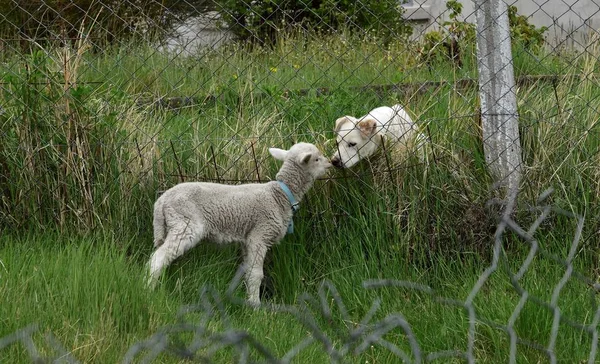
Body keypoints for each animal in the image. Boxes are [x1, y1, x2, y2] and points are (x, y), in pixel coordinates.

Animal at [146, 141, 332, 306]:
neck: (280, 195)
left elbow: (248, 271)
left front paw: (248, 297)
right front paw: (255, 305)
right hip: (186, 225)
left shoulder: (247, 240)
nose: (331, 163)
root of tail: (161, 201)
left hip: (171, 226)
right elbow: (256, 274)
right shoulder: (260, 235)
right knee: (158, 258)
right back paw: (149, 288)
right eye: (316, 159)